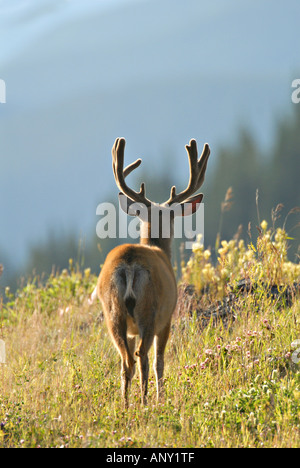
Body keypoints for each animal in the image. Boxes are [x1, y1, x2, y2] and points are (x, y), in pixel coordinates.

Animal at [97, 136, 210, 406]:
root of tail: (129, 265)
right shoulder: (167, 318)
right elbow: (160, 362)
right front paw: (161, 395)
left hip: (113, 312)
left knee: (125, 360)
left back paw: (126, 405)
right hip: (150, 309)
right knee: (142, 357)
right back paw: (147, 402)